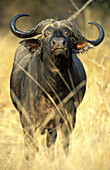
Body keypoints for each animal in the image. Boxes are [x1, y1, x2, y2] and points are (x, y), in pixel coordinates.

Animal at [9, 13, 104, 153]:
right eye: (46, 34)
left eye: (68, 34)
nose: (59, 43)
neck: (52, 90)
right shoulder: (27, 120)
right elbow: (31, 148)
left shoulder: (68, 119)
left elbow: (63, 146)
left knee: (50, 144)